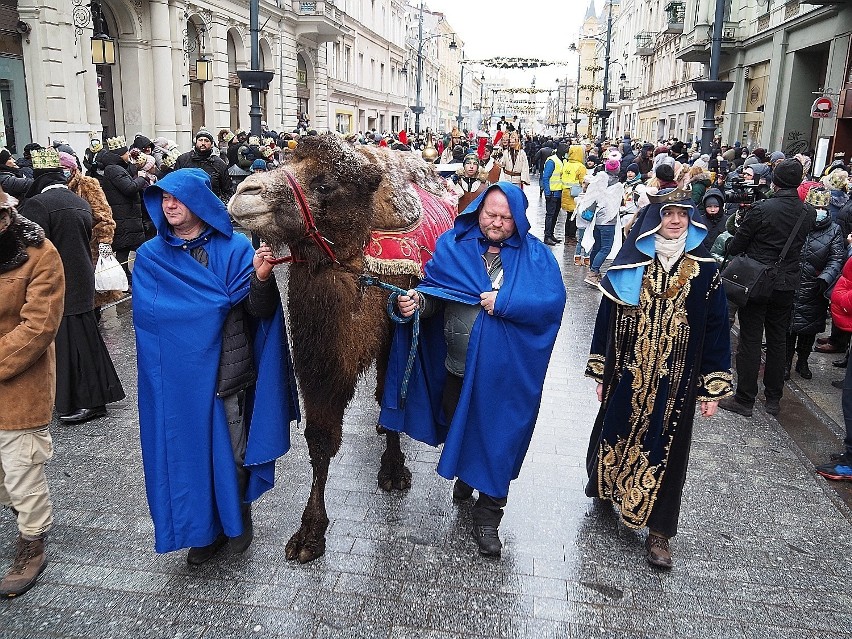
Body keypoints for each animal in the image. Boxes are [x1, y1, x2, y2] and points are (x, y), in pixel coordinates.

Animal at [226, 134, 452, 560]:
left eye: (325, 184)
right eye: (283, 162)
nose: (244, 194)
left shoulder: (392, 326)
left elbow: (391, 397)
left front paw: (393, 471)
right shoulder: (322, 356)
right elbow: (320, 437)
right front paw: (310, 532)